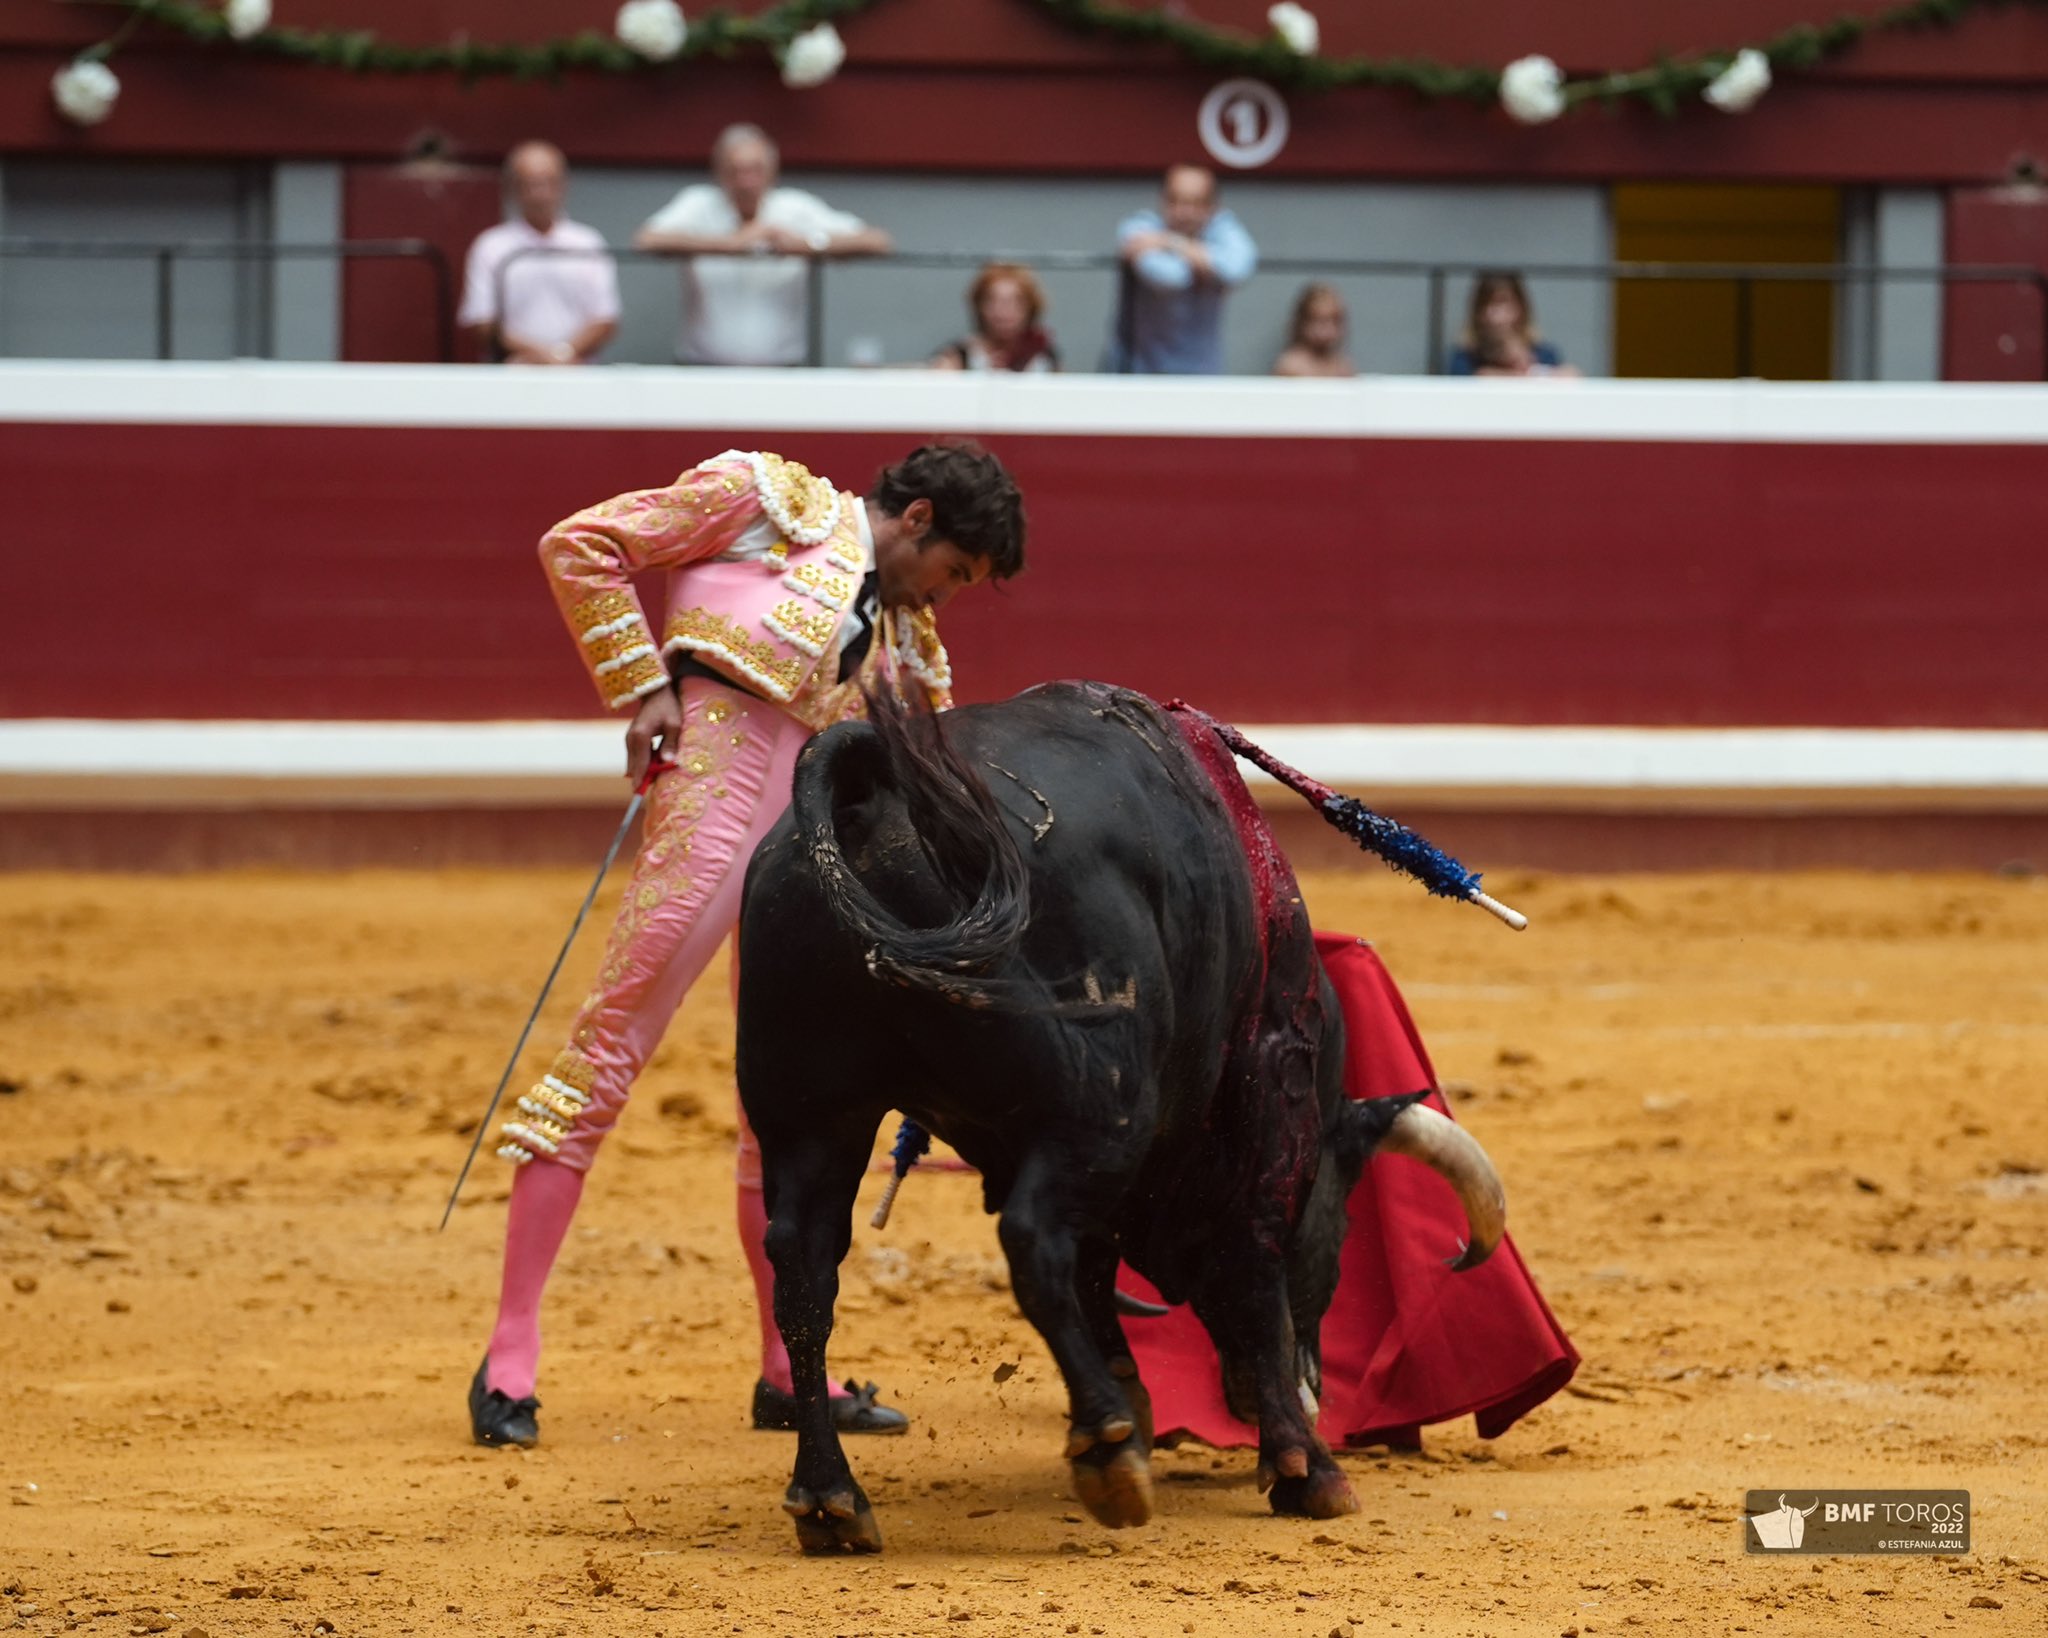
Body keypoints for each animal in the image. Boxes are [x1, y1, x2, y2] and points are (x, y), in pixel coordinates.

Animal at [735, 680, 1506, 1554]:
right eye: (1341, 1227)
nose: (1311, 1390)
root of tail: (877, 786)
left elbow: (1099, 1267)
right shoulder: (1268, 1087)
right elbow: (1245, 1262)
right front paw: (1303, 1465)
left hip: (808, 1114)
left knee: (804, 1271)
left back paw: (829, 1498)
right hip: (1102, 1102)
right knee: (1032, 1240)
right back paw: (1108, 1452)